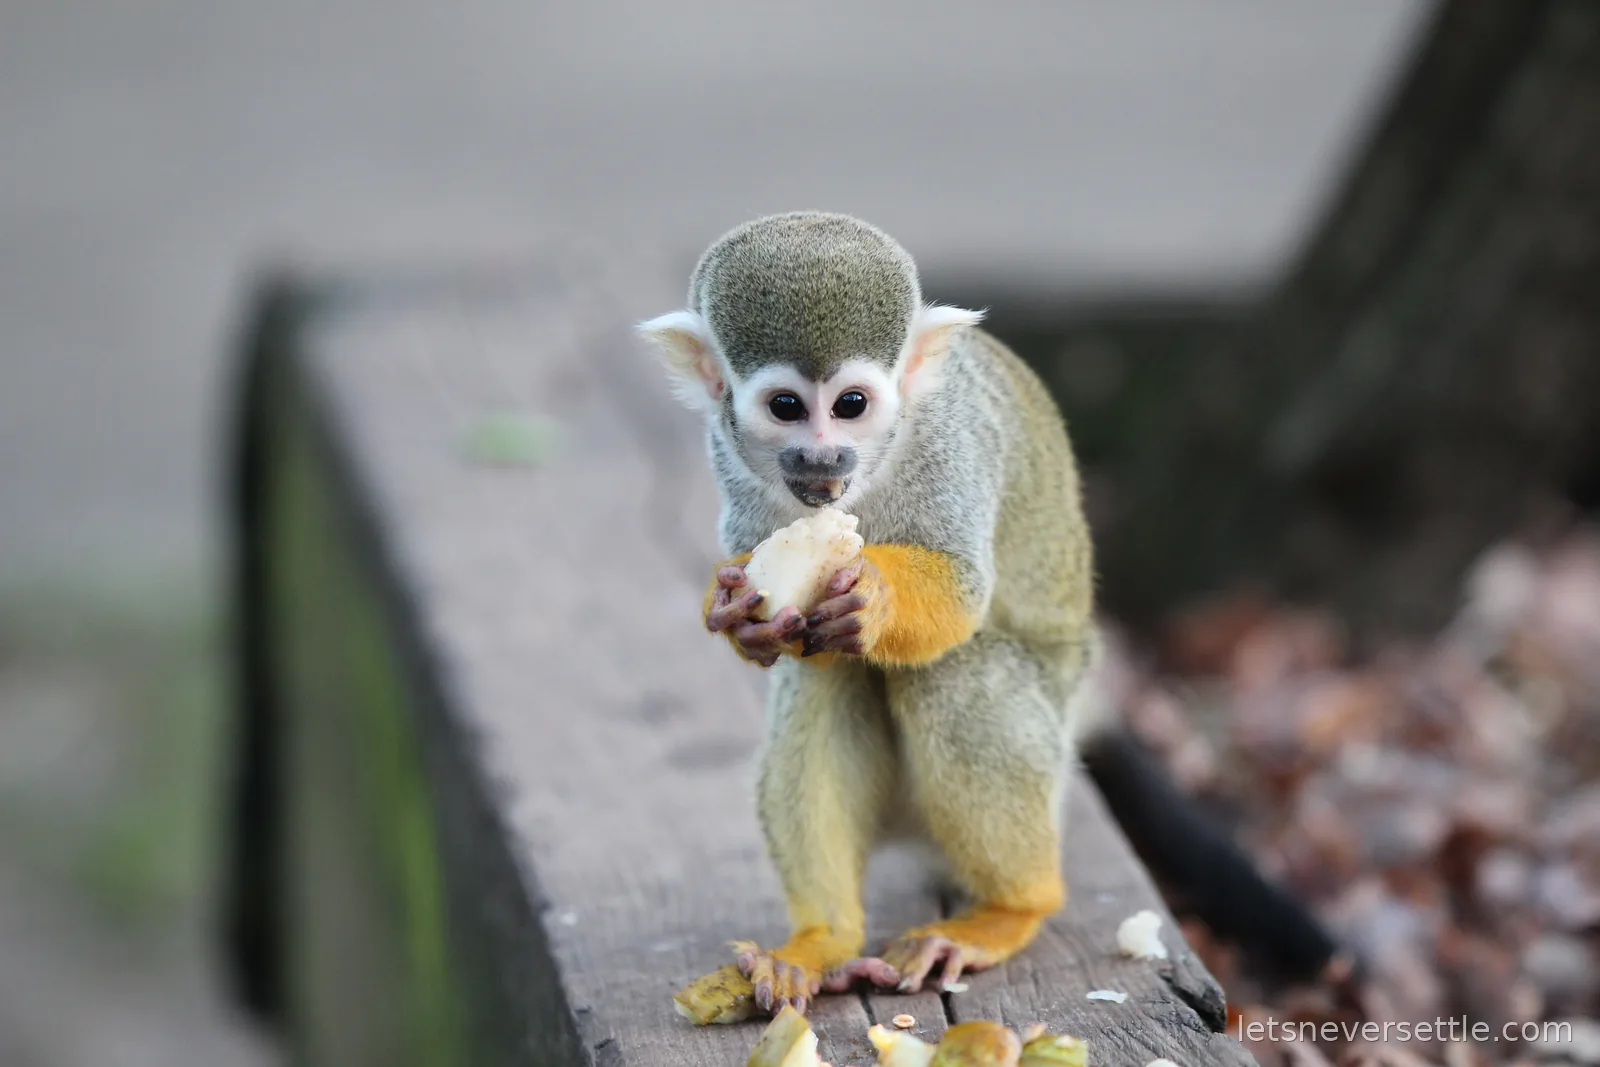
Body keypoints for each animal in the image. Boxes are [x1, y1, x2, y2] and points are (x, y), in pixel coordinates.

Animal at [638, 212, 1338, 1021]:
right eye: (786, 408)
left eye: (851, 405)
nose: (823, 458)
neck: (875, 467)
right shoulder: (729, 459)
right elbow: (785, 623)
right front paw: (732, 609)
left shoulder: (954, 445)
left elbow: (964, 596)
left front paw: (875, 594)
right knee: (827, 678)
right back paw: (823, 939)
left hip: (1051, 742)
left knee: (955, 672)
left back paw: (1014, 907)